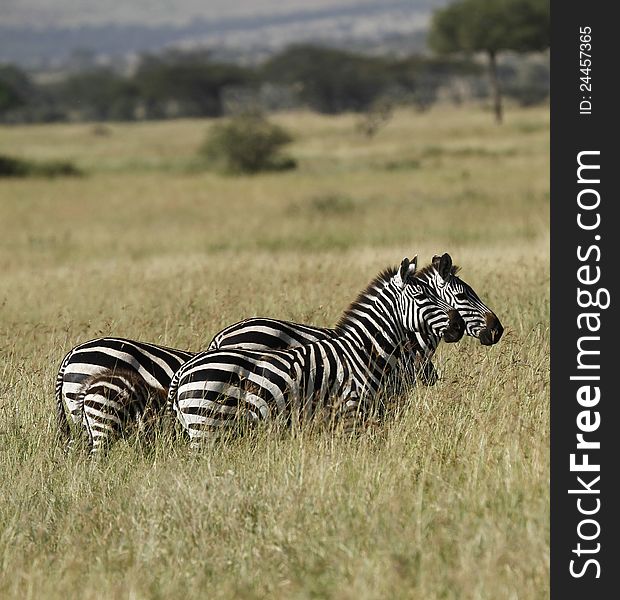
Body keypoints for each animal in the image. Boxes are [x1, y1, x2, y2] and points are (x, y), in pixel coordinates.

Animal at [168, 255, 464, 448]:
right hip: (206, 427)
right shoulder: (351, 414)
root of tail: (184, 370)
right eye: (422, 297)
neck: (363, 353)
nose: (458, 325)